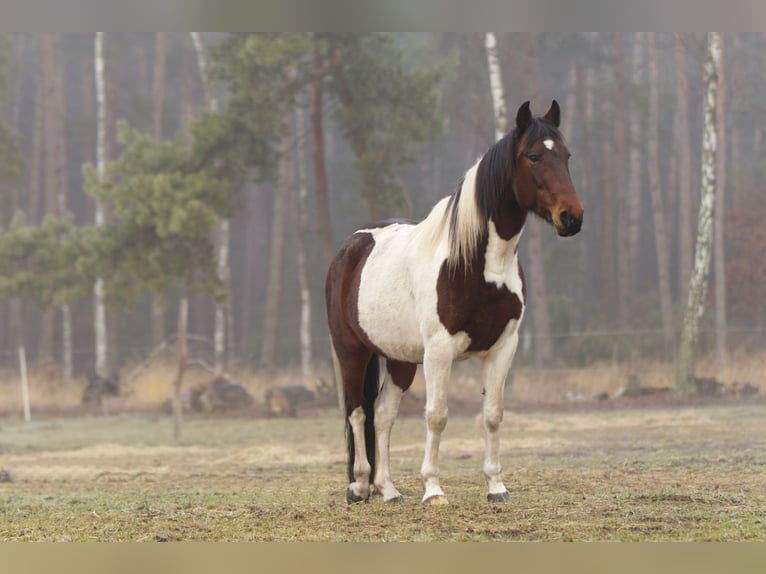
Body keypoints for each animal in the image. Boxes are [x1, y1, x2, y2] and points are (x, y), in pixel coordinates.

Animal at [324, 101, 584, 506]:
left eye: (567, 156)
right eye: (534, 156)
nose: (571, 217)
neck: (480, 264)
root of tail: (351, 248)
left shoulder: (503, 348)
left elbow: (492, 414)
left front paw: (496, 486)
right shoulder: (439, 350)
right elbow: (437, 415)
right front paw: (433, 489)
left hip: (399, 360)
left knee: (382, 415)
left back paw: (388, 489)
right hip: (352, 351)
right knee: (356, 412)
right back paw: (360, 486)